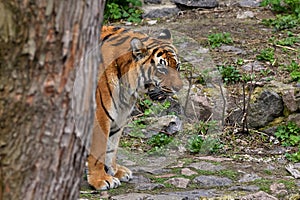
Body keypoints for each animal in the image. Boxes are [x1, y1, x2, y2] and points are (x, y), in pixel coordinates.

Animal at [86, 25, 183, 190]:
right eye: (162, 70)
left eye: (177, 66)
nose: (179, 87)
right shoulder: (100, 115)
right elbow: (100, 149)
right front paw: (100, 179)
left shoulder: (119, 115)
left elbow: (111, 146)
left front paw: (115, 171)